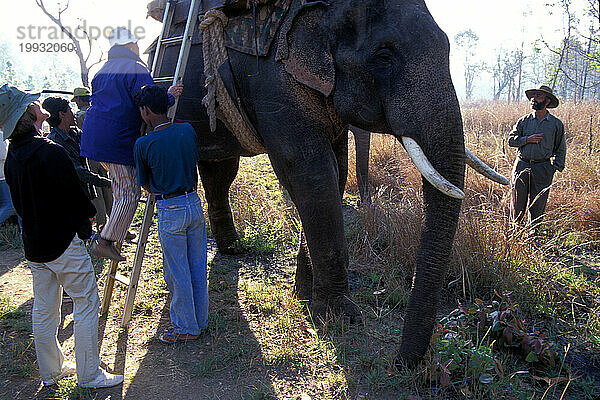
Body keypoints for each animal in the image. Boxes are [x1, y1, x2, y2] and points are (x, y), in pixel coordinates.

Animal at [155, 0, 506, 364]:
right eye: (383, 57)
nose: (400, 363)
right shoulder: (273, 82)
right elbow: (312, 171)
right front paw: (340, 318)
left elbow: (336, 172)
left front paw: (304, 295)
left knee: (220, 171)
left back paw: (233, 248)